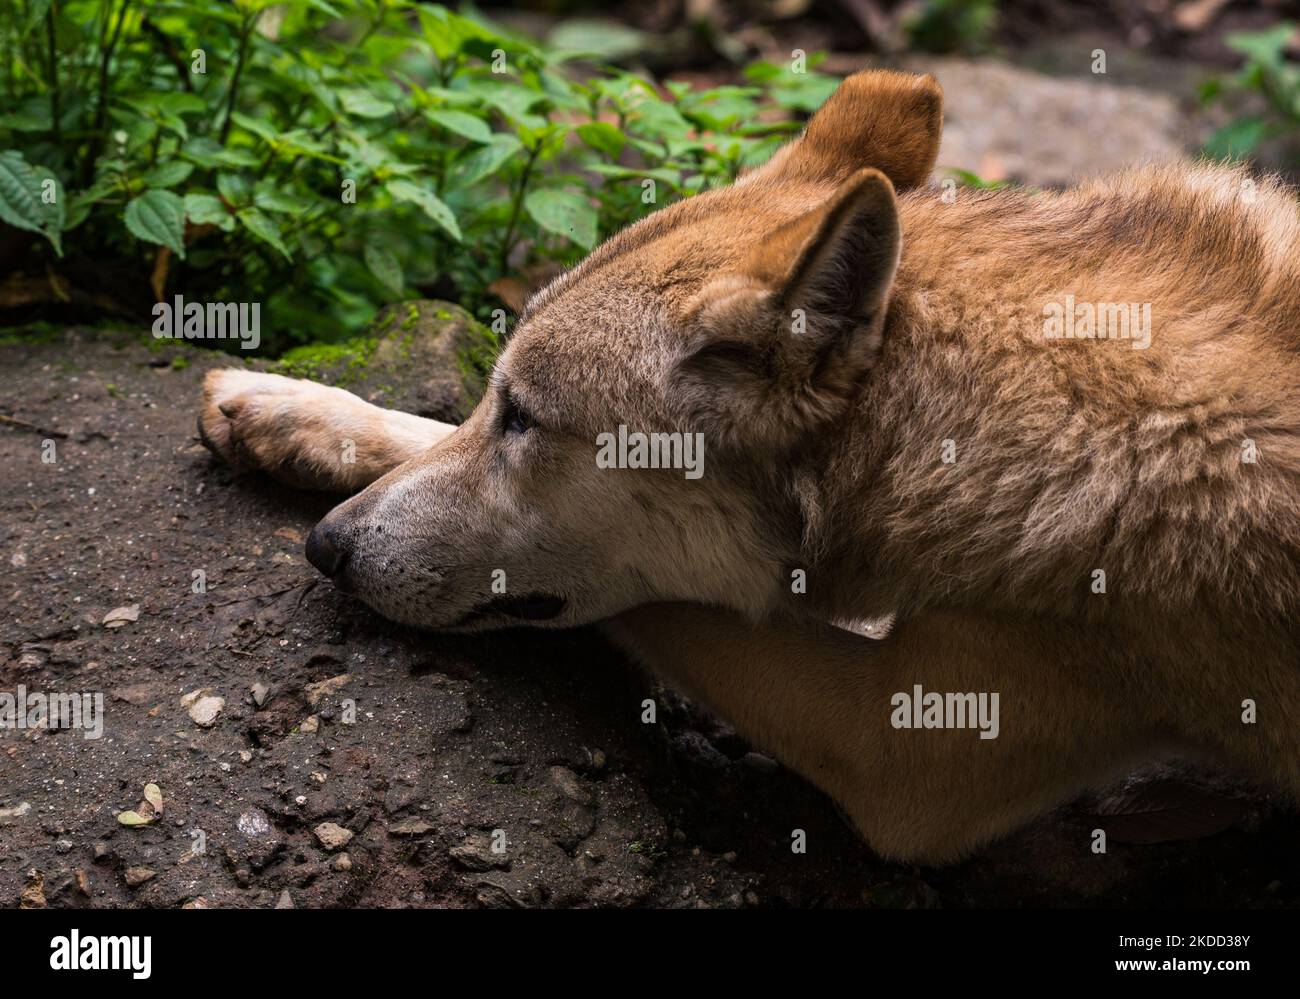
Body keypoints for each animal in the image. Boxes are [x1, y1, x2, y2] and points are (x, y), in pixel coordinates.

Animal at [200, 72, 1300, 863]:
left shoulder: (897, 753)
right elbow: (426, 434)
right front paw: (297, 410)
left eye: (525, 419)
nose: (326, 547)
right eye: (497, 400)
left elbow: (667, 600)